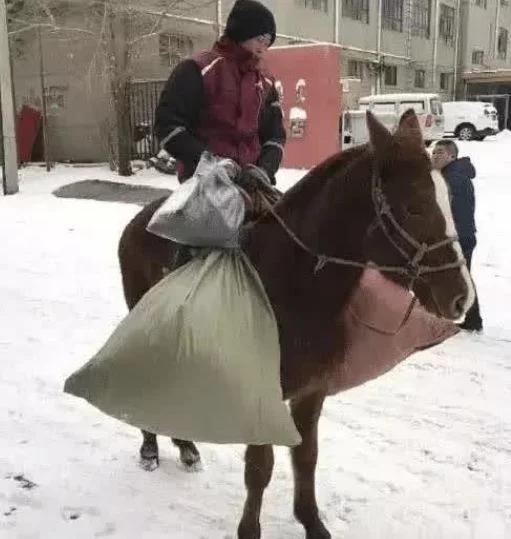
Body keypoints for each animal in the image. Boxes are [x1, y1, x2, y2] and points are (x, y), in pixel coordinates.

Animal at [118, 110, 474, 539]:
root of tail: (137, 223)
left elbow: (306, 456)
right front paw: (250, 529)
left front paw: (312, 521)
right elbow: (260, 467)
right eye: (413, 208)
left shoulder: (311, 392)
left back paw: (185, 446)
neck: (295, 281)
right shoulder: (262, 393)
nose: (462, 297)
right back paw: (152, 446)